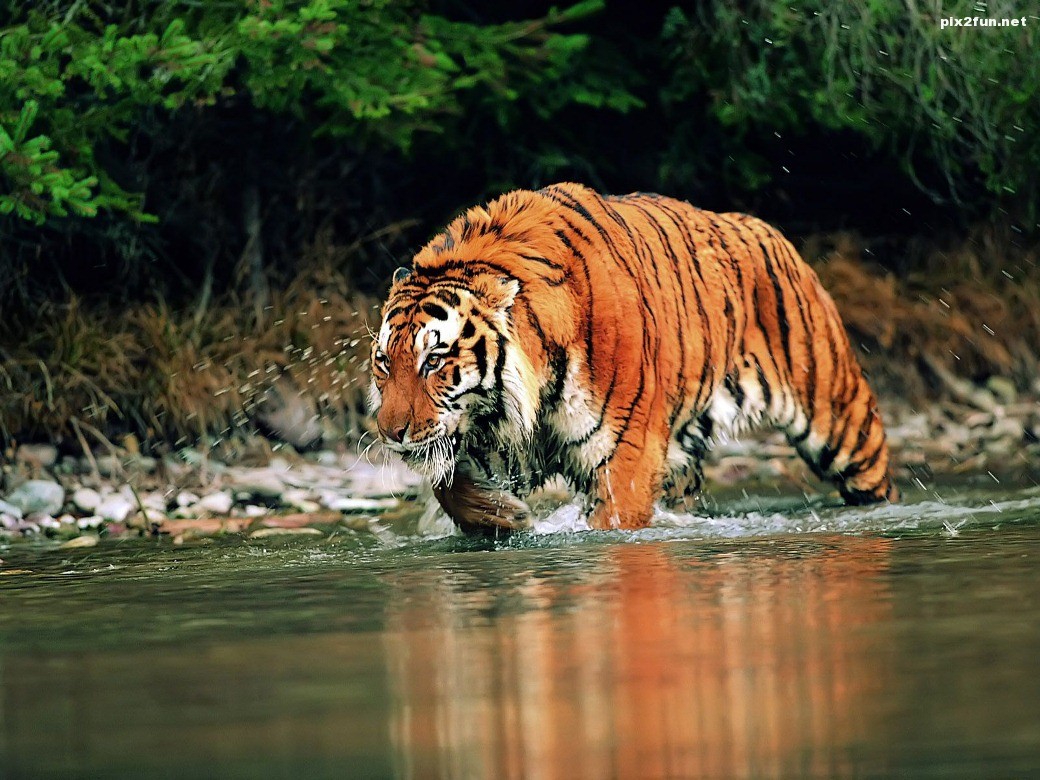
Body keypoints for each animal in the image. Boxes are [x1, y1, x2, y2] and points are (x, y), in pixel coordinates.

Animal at [369, 183, 897, 533]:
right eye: (384, 364)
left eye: (434, 361)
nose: (391, 433)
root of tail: (768, 230)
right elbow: (448, 486)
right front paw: (503, 516)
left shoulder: (624, 456)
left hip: (841, 421)